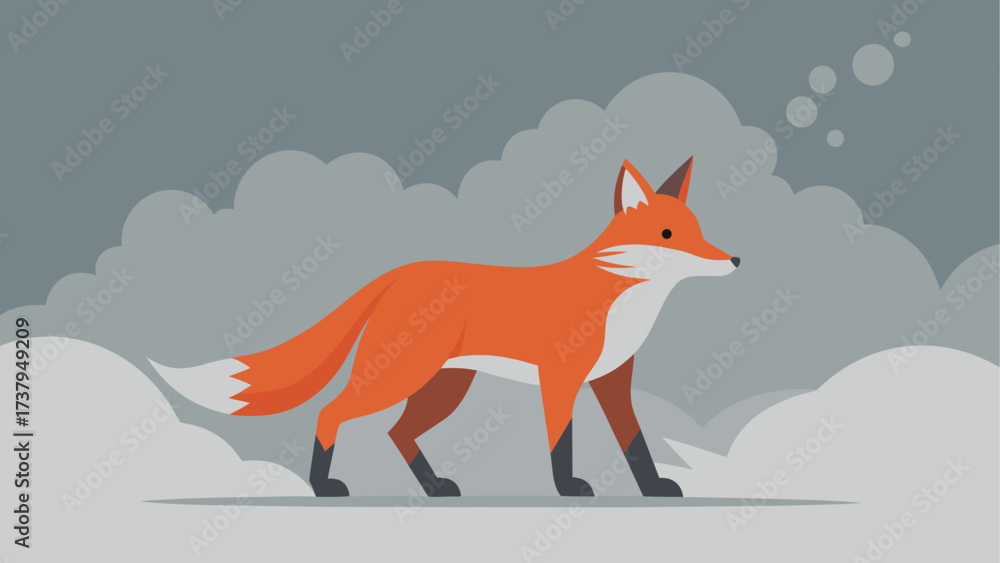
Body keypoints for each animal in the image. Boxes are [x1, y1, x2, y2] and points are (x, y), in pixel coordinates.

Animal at [151, 157, 739, 498]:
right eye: (668, 234)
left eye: (699, 230)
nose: (735, 259)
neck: (622, 298)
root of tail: (398, 272)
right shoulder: (561, 379)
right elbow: (562, 443)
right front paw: (569, 487)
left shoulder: (613, 381)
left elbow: (636, 442)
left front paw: (654, 487)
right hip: (401, 376)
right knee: (331, 412)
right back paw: (324, 486)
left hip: (445, 387)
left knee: (396, 431)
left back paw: (433, 486)